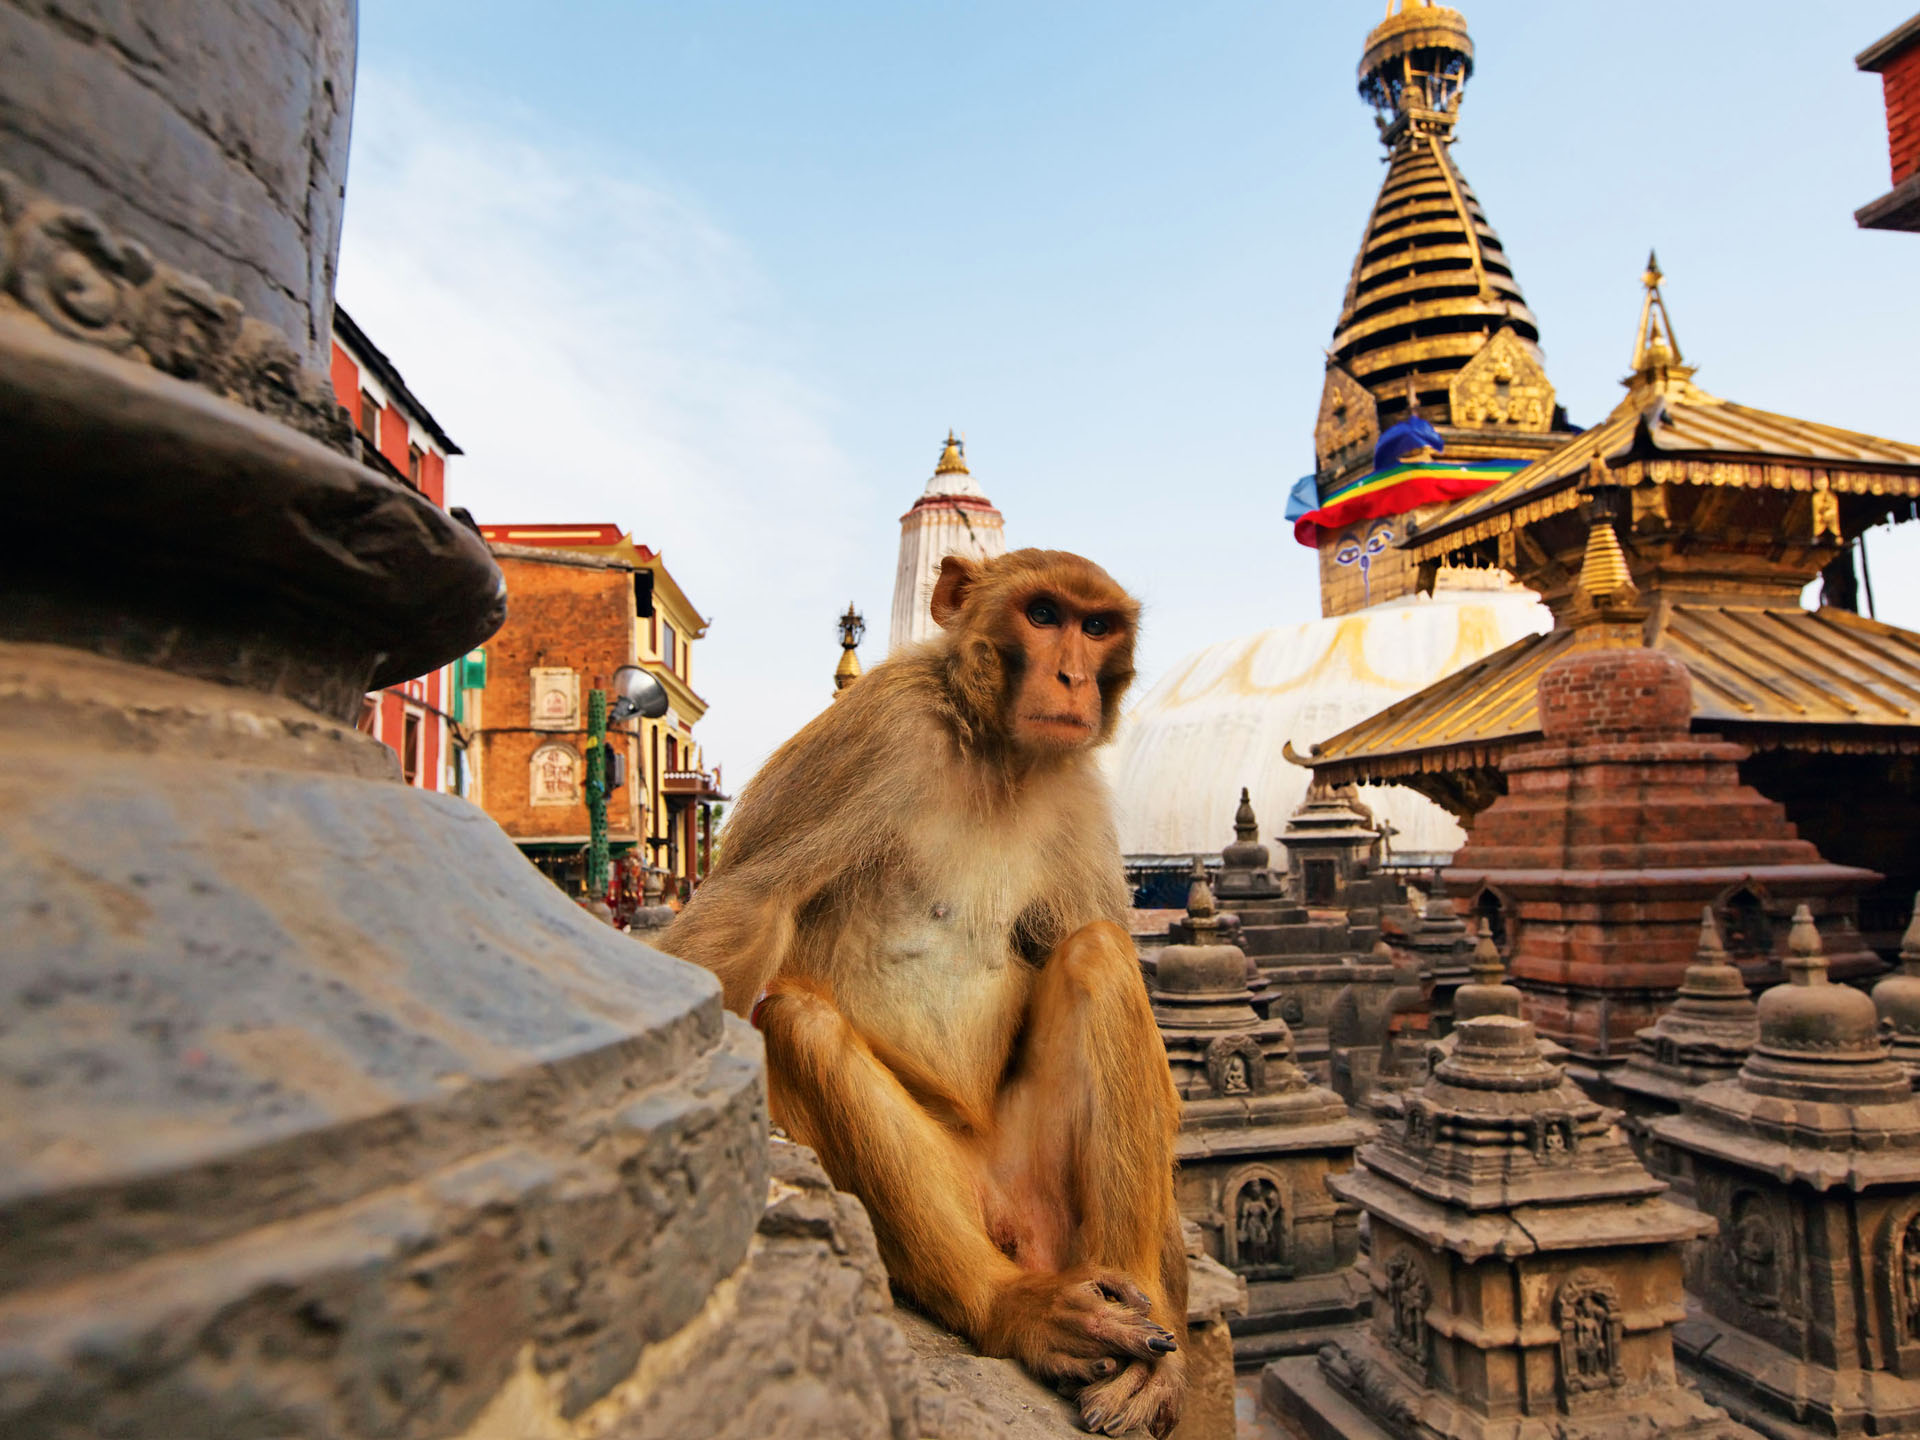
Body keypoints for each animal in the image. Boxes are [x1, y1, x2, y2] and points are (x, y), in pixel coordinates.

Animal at [668, 549, 1190, 1436]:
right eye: (1043, 615)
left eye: (1095, 626)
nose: (1072, 677)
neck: (995, 752)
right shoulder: (880, 729)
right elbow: (749, 906)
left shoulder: (1078, 790)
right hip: (957, 1191)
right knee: (799, 1023)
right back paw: (1012, 1307)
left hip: (1050, 1192)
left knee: (1097, 952)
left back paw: (1140, 1307)